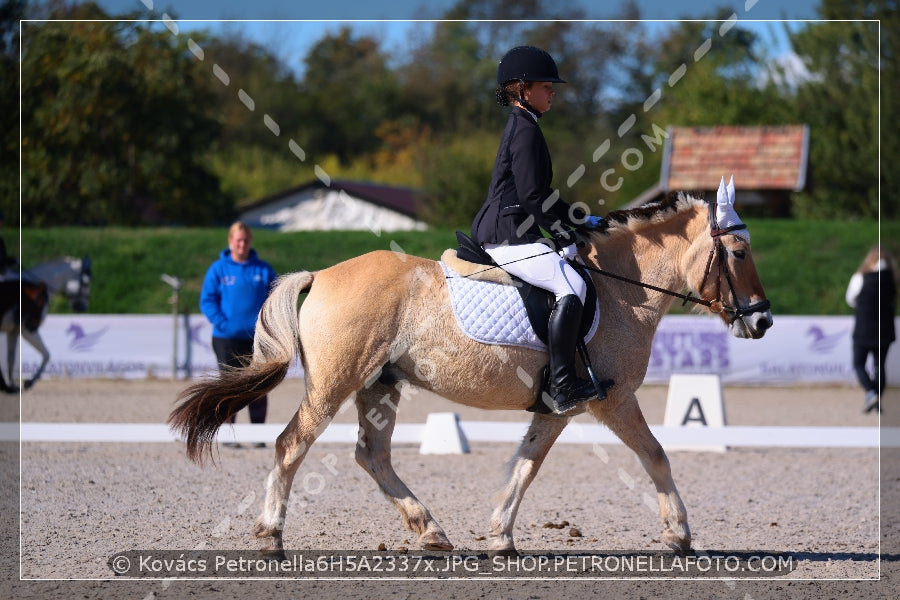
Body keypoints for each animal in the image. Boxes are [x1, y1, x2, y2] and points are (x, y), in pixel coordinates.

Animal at [0, 255, 92, 392]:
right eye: (86, 283)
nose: (83, 307)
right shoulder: (29, 329)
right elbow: (47, 354)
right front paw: (29, 381)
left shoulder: (13, 331)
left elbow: (10, 358)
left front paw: (11, 385)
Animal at [169, 189, 772, 556]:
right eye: (740, 253)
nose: (763, 320)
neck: (621, 286)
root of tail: (321, 274)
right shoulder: (612, 399)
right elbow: (655, 454)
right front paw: (679, 535)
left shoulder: (560, 406)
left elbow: (526, 466)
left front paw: (500, 537)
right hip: (335, 384)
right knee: (291, 444)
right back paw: (270, 536)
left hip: (379, 386)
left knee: (372, 456)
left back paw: (431, 531)